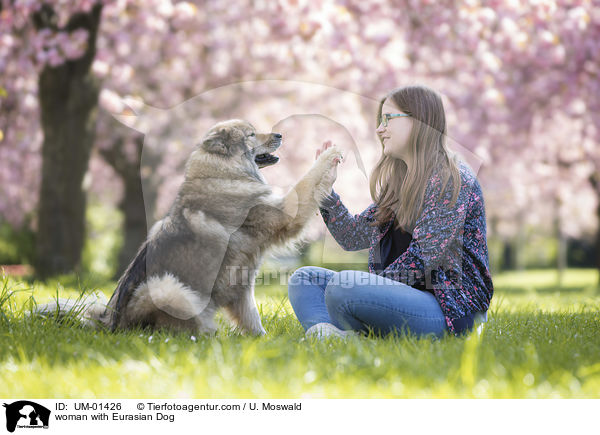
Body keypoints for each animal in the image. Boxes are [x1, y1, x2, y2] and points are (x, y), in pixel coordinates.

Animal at [38, 119, 342, 338]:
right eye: (251, 134)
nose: (279, 134)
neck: (222, 172)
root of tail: (110, 324)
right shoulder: (286, 213)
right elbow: (308, 181)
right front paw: (330, 153)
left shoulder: (241, 286)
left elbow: (251, 318)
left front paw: (262, 340)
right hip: (168, 289)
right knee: (176, 328)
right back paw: (207, 336)